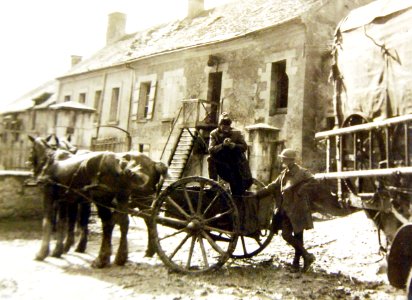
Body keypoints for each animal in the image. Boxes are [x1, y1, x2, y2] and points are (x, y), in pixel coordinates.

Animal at [28, 136, 167, 268]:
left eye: (32, 149)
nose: (30, 165)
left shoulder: (52, 197)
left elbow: (50, 222)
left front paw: (44, 253)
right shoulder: (68, 200)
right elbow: (66, 221)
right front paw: (62, 249)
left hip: (107, 198)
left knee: (110, 223)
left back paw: (102, 259)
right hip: (123, 198)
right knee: (125, 222)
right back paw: (123, 257)